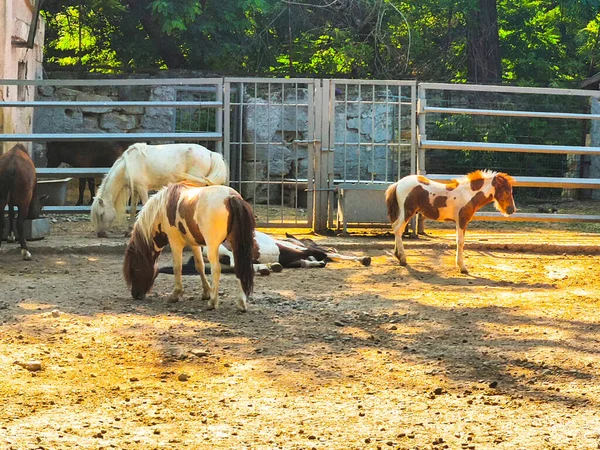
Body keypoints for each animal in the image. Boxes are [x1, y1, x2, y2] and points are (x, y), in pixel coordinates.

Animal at [92, 142, 230, 237]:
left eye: (101, 214)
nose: (100, 233)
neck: (129, 165)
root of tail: (210, 153)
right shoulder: (135, 190)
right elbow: (132, 210)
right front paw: (129, 231)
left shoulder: (142, 188)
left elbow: (145, 206)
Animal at [123, 181, 254, 312]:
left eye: (134, 268)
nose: (135, 294)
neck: (163, 208)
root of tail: (231, 197)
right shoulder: (194, 244)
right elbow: (199, 266)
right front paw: (206, 292)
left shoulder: (174, 242)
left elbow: (177, 267)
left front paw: (175, 294)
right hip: (235, 244)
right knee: (238, 267)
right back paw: (241, 303)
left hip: (213, 246)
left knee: (216, 269)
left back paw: (213, 302)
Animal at [386, 170, 516, 272]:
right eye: (506, 191)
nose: (511, 210)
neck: (468, 194)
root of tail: (398, 183)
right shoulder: (462, 221)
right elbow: (460, 242)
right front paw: (462, 267)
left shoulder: (460, 222)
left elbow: (460, 241)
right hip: (407, 212)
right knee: (398, 229)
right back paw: (402, 258)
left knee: (395, 227)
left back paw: (398, 256)